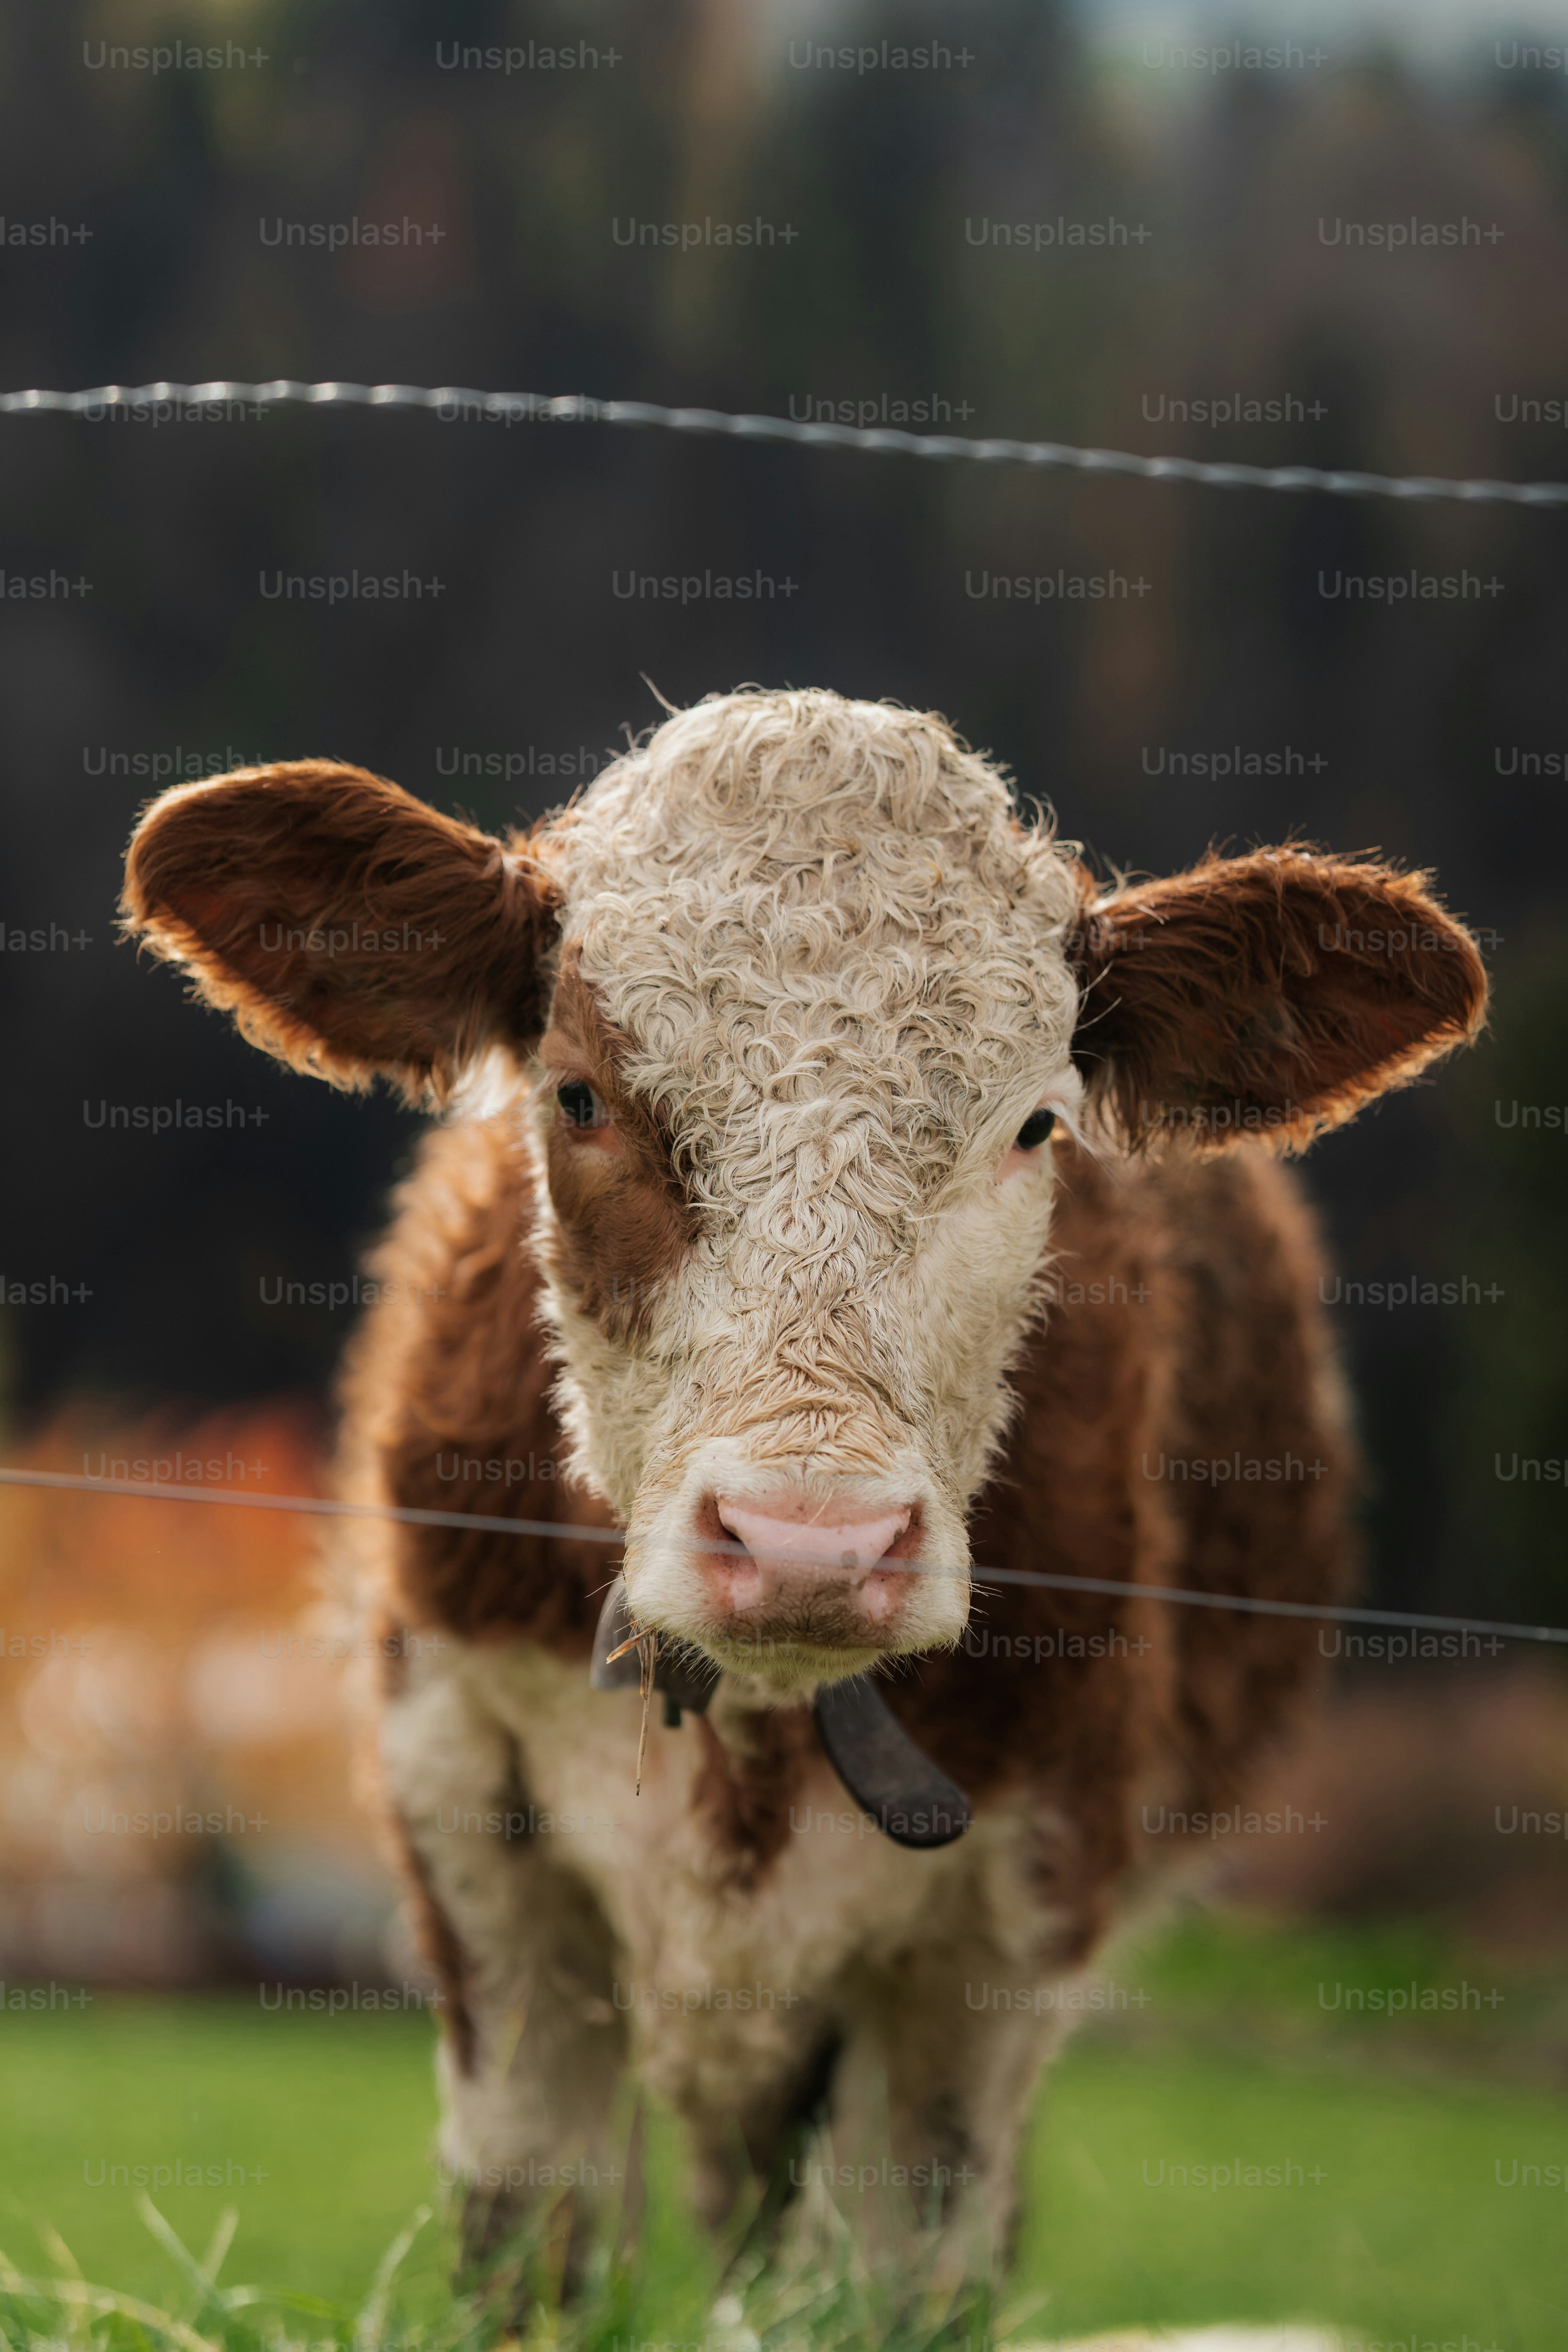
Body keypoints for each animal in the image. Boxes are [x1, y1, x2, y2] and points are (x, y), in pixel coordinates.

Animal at [121, 688, 1485, 2311]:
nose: (807, 1547)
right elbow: (531, 2237)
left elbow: (904, 2266)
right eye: (579, 1094)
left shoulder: (1007, 1919)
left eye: (1036, 1126)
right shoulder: (469, 1824)